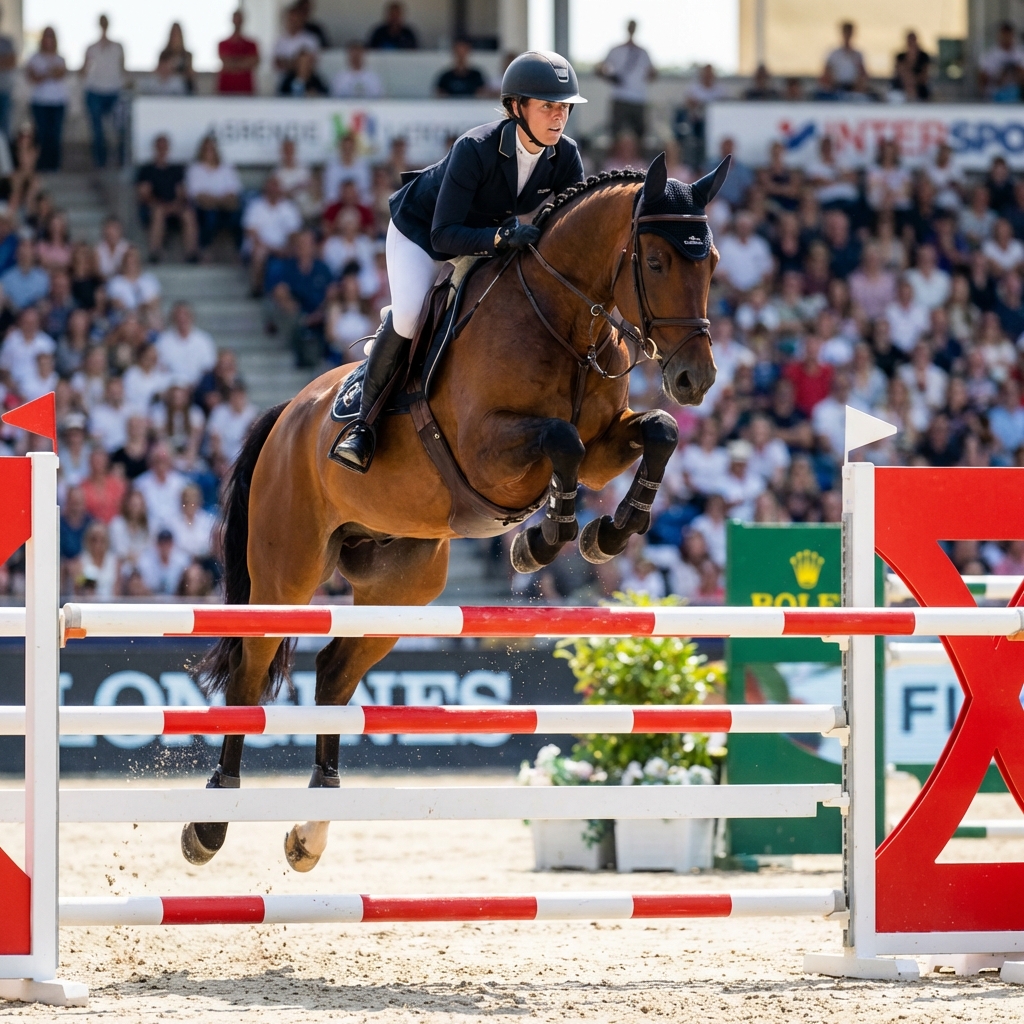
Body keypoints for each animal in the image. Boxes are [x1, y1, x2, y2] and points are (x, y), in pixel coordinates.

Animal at [182, 152, 729, 871]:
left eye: (712, 260)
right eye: (659, 261)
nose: (696, 378)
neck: (565, 319)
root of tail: (289, 414)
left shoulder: (608, 445)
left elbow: (657, 432)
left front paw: (607, 533)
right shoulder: (489, 449)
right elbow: (563, 439)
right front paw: (542, 541)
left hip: (402, 582)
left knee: (334, 672)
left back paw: (312, 829)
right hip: (287, 571)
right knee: (251, 669)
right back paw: (211, 822)